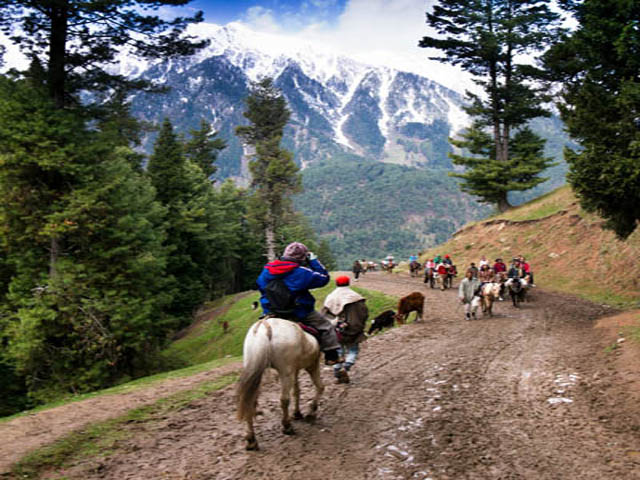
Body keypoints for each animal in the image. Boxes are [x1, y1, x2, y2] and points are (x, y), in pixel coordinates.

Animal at [236, 318, 324, 450]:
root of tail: (264, 327)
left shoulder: (295, 370)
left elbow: (296, 391)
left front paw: (297, 413)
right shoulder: (312, 365)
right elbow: (320, 386)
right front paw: (311, 410)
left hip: (254, 370)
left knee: (249, 402)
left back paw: (251, 440)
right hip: (285, 371)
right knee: (284, 399)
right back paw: (287, 426)